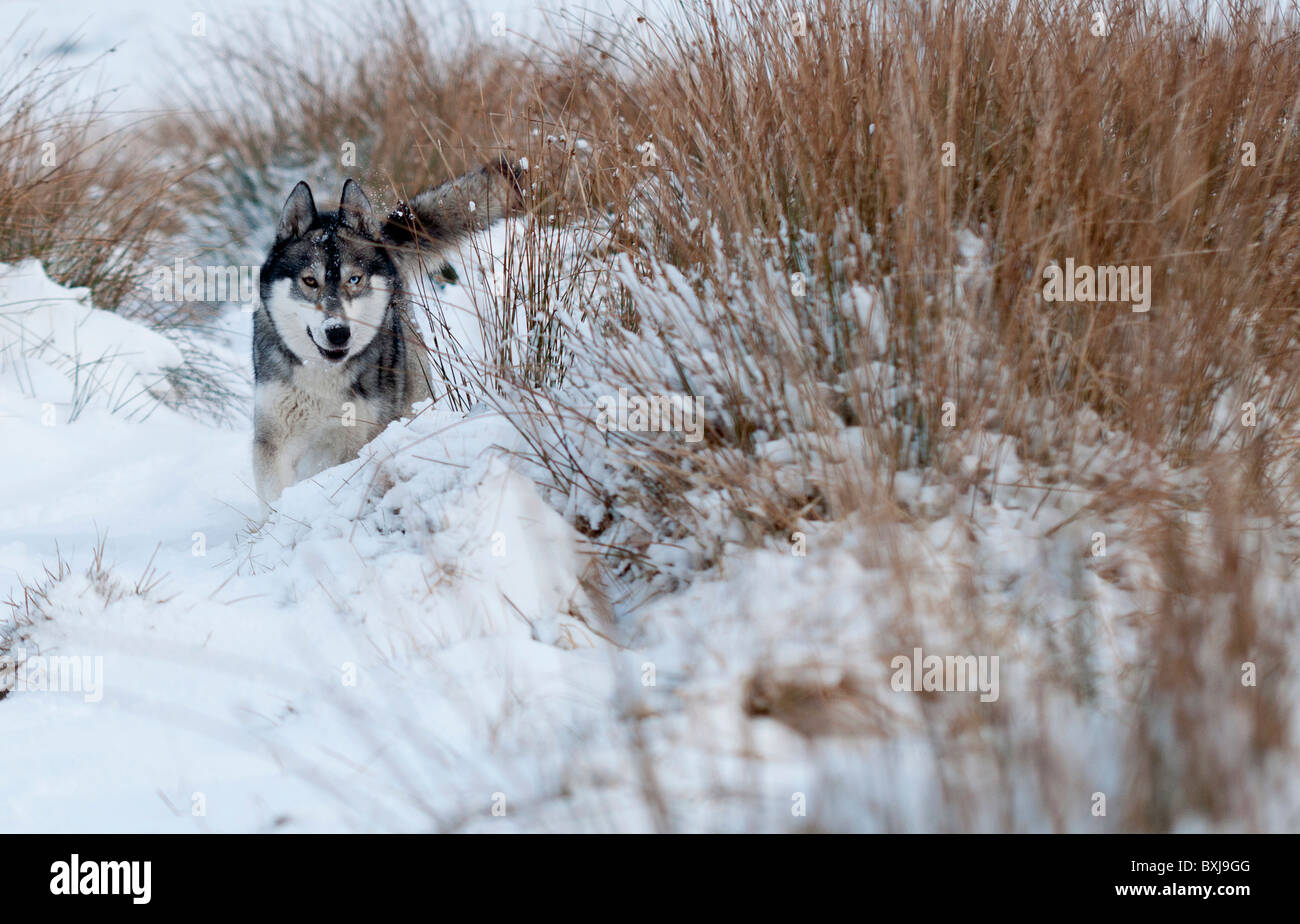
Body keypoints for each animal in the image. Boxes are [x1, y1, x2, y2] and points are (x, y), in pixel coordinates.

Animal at [253, 157, 522, 506]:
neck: (324, 377)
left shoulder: (353, 441)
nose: (338, 333)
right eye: (310, 281)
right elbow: (274, 497)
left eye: (354, 279)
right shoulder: (275, 440)